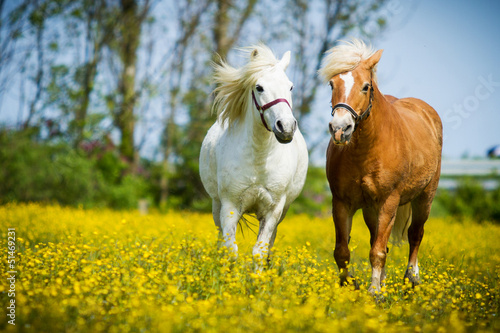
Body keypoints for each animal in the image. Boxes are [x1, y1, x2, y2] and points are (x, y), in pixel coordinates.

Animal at [199, 44, 308, 262]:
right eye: (259, 87)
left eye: (290, 87)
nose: (286, 128)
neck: (259, 156)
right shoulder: (230, 206)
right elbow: (230, 249)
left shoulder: (273, 210)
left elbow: (260, 250)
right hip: (216, 206)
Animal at [320, 39, 442, 294]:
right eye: (332, 84)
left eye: (366, 87)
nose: (340, 129)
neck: (366, 150)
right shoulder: (342, 203)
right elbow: (343, 251)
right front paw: (349, 286)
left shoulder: (389, 202)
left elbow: (378, 251)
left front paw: (375, 292)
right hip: (370, 210)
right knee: (379, 239)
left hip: (425, 197)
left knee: (415, 234)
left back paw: (411, 278)